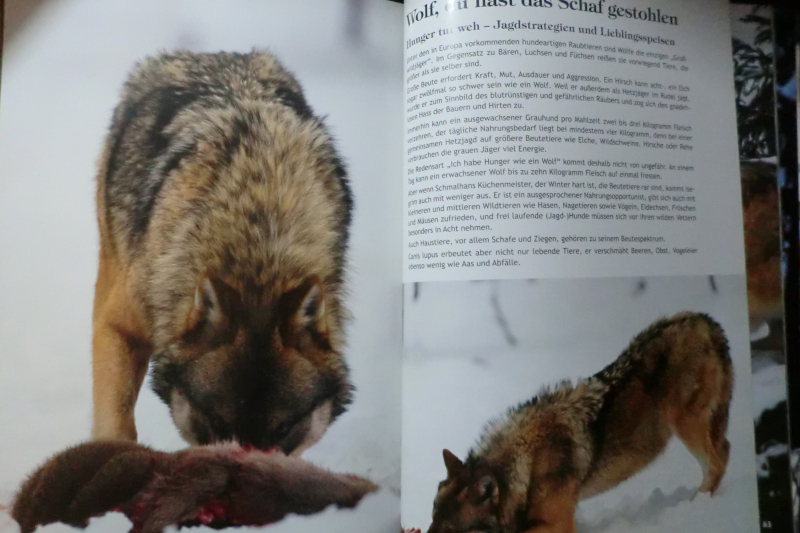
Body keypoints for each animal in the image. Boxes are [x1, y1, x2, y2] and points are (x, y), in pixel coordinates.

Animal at [427, 312, 733, 533]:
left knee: (719, 460)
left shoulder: (559, 523)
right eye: (432, 518)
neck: (526, 463)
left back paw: (697, 504)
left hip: (686, 424)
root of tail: (704, 321)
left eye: (451, 531)